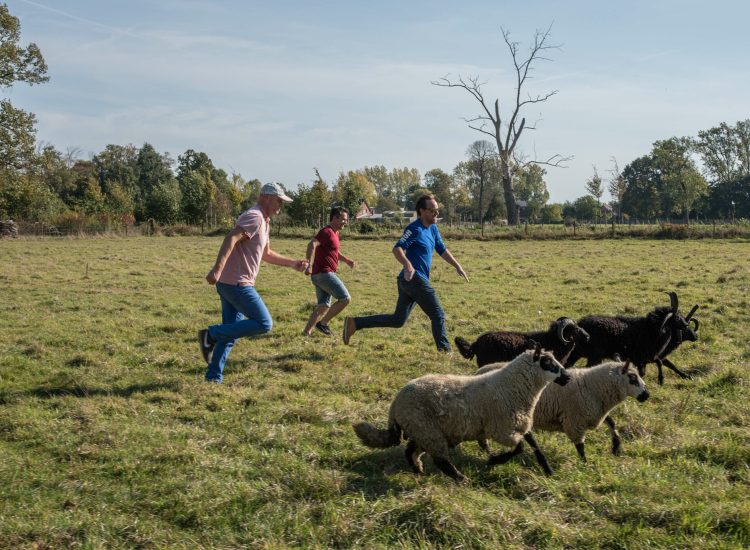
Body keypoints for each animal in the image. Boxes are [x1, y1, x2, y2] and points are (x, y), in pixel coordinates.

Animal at [352, 350, 568, 484]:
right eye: (548, 363)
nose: (567, 377)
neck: (513, 387)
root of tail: (395, 403)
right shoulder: (501, 430)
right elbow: (520, 447)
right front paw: (495, 461)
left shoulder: (521, 423)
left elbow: (534, 445)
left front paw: (548, 470)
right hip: (428, 431)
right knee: (441, 461)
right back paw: (461, 479)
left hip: (421, 432)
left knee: (410, 451)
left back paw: (418, 471)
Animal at [478, 362, 648, 462]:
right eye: (632, 377)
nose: (647, 395)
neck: (593, 386)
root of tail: (480, 371)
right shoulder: (575, 421)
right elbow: (580, 446)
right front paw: (585, 465)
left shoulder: (594, 411)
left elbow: (612, 422)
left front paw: (616, 447)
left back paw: (488, 452)